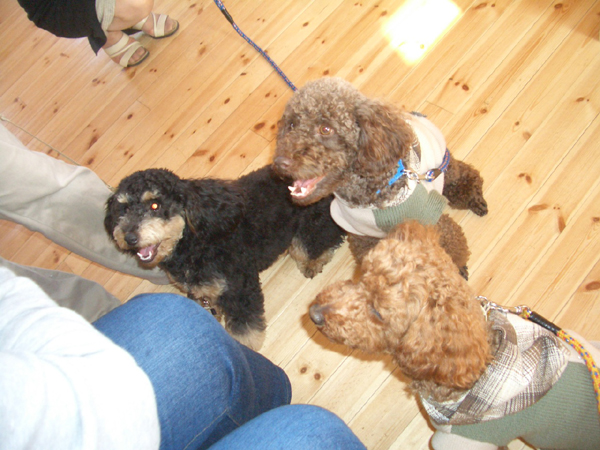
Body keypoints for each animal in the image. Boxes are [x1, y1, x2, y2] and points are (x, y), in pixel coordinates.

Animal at [105, 165, 344, 349]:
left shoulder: (238, 287)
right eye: (122, 208)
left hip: (310, 224)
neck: (193, 246)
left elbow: (244, 328)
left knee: (321, 239)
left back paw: (313, 261)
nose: (129, 237)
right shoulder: (201, 291)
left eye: (155, 205)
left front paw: (246, 349)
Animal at [273, 77, 488, 278]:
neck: (371, 199)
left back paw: (476, 199)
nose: (279, 162)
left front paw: (455, 270)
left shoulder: (432, 219)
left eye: (326, 129)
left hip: (443, 168)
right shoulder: (363, 237)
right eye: (291, 124)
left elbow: (453, 248)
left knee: (466, 174)